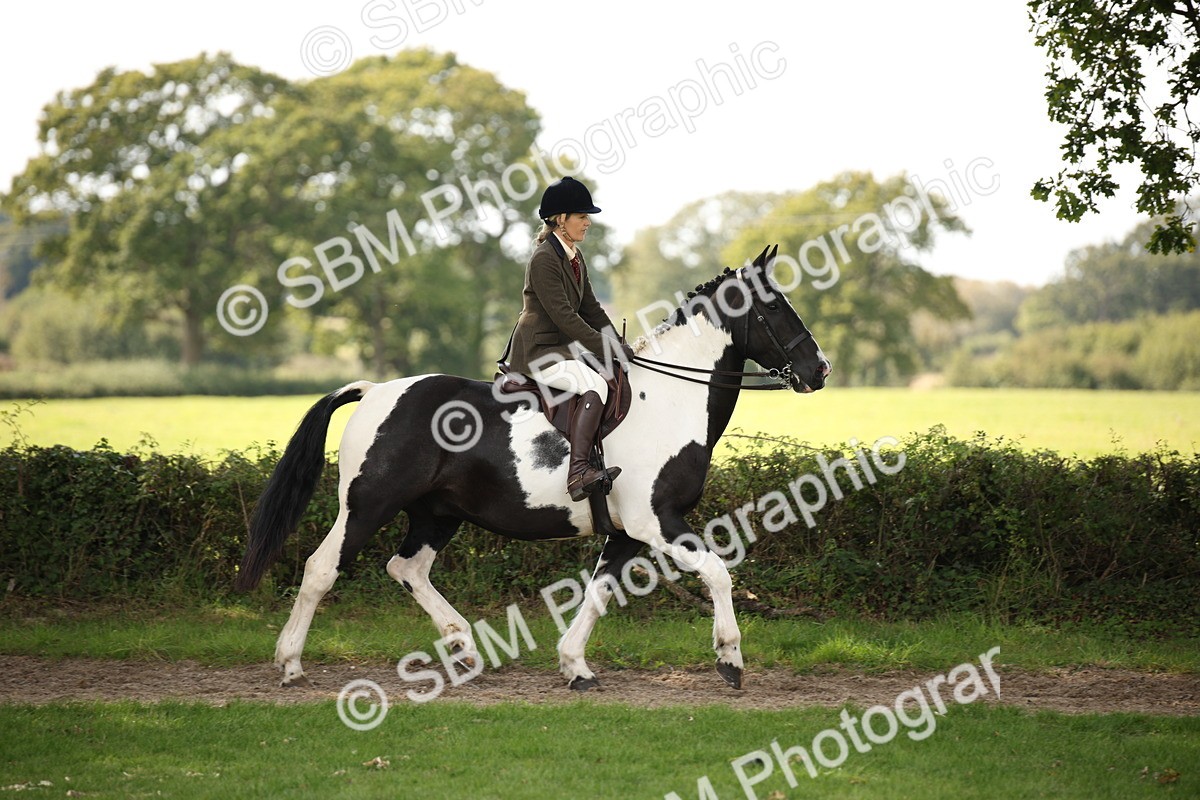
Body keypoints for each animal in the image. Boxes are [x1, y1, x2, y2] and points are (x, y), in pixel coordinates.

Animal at [235, 245, 831, 691]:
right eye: (774, 307)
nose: (819, 370)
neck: (667, 397)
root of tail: (376, 391)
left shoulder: (626, 532)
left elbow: (599, 592)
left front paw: (574, 665)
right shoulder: (655, 521)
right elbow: (717, 572)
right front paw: (730, 658)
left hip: (437, 513)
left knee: (407, 569)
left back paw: (464, 648)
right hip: (367, 505)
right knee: (322, 569)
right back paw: (290, 663)